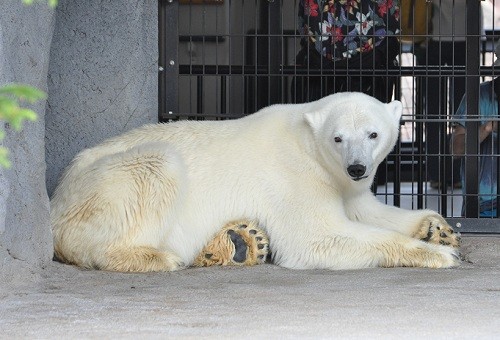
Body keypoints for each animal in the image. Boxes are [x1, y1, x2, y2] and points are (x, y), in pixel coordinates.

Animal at [50, 91, 460, 272]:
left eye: (373, 133)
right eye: (338, 137)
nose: (357, 167)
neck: (306, 138)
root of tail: (57, 198)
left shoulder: (342, 181)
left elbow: (364, 209)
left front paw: (438, 229)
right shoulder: (297, 176)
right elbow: (315, 237)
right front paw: (439, 254)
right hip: (102, 188)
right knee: (155, 167)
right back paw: (156, 256)